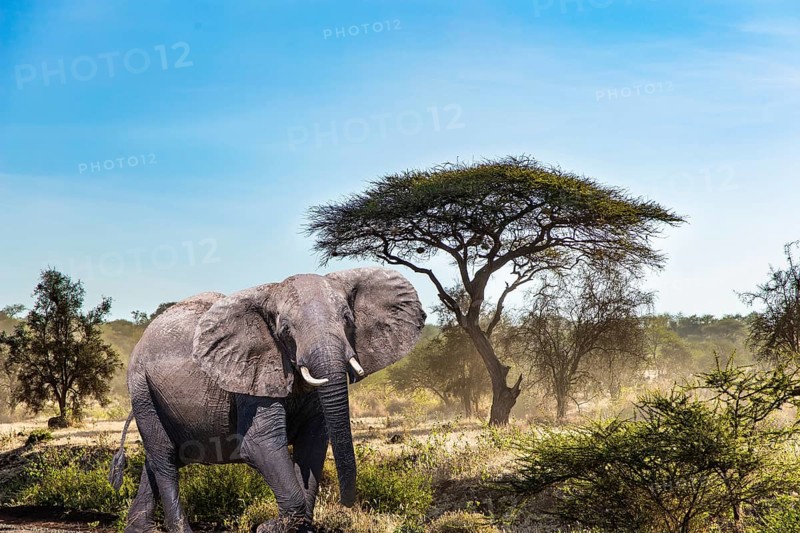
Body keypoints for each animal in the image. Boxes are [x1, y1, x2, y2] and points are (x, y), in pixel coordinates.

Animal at [108, 267, 425, 533]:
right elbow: (260, 445)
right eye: (285, 331)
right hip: (142, 389)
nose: (348, 502)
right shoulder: (251, 376)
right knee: (165, 460)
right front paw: (268, 527)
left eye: (348, 319)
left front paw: (292, 527)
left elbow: (312, 444)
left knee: (160, 459)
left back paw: (139, 530)